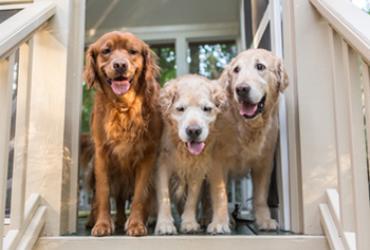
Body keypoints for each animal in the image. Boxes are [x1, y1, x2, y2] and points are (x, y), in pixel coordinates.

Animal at [84, 31, 162, 236]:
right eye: (106, 51)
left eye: (132, 51)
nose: (120, 65)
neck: (123, 106)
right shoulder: (101, 154)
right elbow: (103, 193)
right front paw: (102, 224)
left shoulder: (148, 155)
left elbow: (140, 195)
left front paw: (136, 224)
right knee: (102, 198)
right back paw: (95, 220)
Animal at [155, 74, 227, 234]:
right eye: (180, 109)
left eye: (206, 109)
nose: (194, 131)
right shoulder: (162, 164)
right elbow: (164, 195)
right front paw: (164, 224)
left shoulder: (197, 168)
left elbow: (192, 199)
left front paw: (189, 222)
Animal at [207, 49, 288, 234]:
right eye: (236, 70)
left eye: (260, 66)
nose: (241, 89)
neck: (246, 126)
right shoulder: (217, 161)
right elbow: (220, 194)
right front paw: (219, 222)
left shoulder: (265, 162)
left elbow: (260, 196)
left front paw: (264, 220)